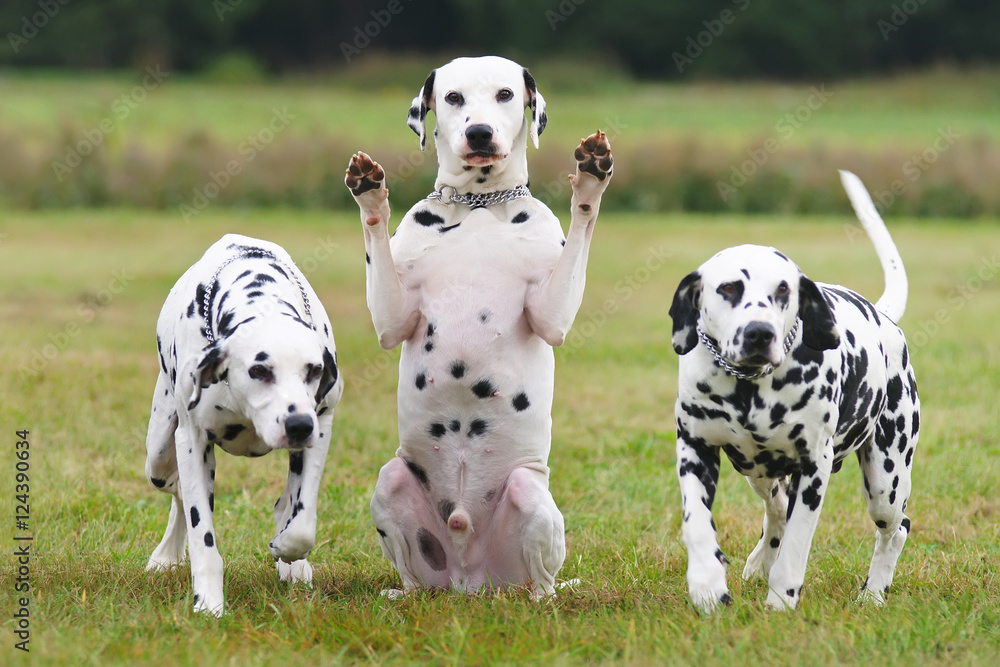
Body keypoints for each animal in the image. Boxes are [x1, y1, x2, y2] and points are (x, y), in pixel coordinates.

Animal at [141, 234, 344, 616]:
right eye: (259, 370)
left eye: (314, 370)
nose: (298, 426)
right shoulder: (192, 440)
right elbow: (201, 533)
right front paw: (208, 602)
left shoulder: (322, 423)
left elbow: (302, 523)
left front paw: (288, 553)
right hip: (158, 455)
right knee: (177, 491)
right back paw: (167, 555)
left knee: (285, 504)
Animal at [342, 56, 608, 600]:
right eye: (453, 97)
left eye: (505, 94)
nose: (479, 132)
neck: (480, 205)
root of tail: (470, 579)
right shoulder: (391, 317)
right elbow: (378, 249)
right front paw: (370, 194)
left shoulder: (553, 313)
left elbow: (583, 221)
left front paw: (592, 178)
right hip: (392, 483)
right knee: (412, 571)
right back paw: (404, 592)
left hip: (529, 498)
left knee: (543, 581)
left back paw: (541, 596)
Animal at [668, 174, 916, 616]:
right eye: (728, 288)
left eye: (784, 289)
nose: (759, 332)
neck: (749, 388)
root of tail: (883, 316)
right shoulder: (694, 449)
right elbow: (696, 524)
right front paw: (707, 585)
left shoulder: (813, 470)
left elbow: (797, 544)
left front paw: (782, 599)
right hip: (757, 472)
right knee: (777, 508)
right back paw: (758, 561)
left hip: (886, 481)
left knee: (895, 528)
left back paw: (872, 593)